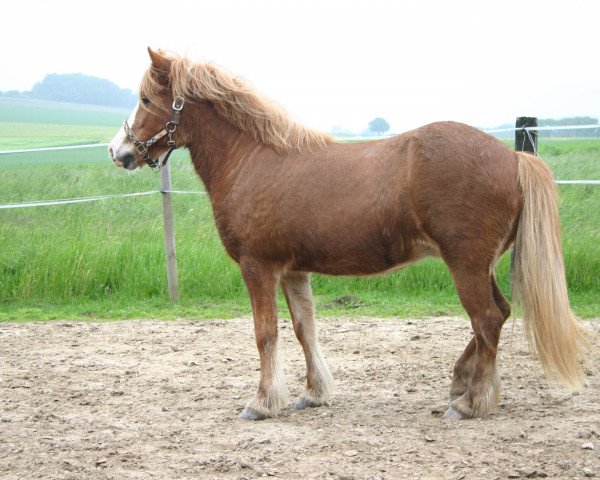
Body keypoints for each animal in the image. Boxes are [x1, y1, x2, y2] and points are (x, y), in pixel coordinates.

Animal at [109, 48, 584, 420]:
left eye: (146, 98)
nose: (118, 151)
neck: (253, 159)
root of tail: (513, 157)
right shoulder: (293, 271)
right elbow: (305, 329)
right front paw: (313, 394)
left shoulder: (258, 267)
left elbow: (266, 333)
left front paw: (262, 403)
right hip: (480, 266)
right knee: (498, 314)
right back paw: (463, 384)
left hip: (465, 265)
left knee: (486, 319)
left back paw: (470, 402)